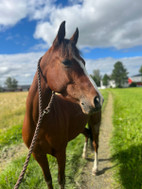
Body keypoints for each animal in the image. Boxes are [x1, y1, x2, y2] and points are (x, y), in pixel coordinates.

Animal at [22, 21, 103, 189]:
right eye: (66, 61)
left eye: (84, 62)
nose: (97, 99)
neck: (39, 121)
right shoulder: (38, 155)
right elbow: (48, 180)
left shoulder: (61, 153)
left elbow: (61, 180)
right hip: (81, 127)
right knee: (87, 135)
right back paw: (84, 154)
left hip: (95, 123)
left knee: (96, 143)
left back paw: (95, 168)